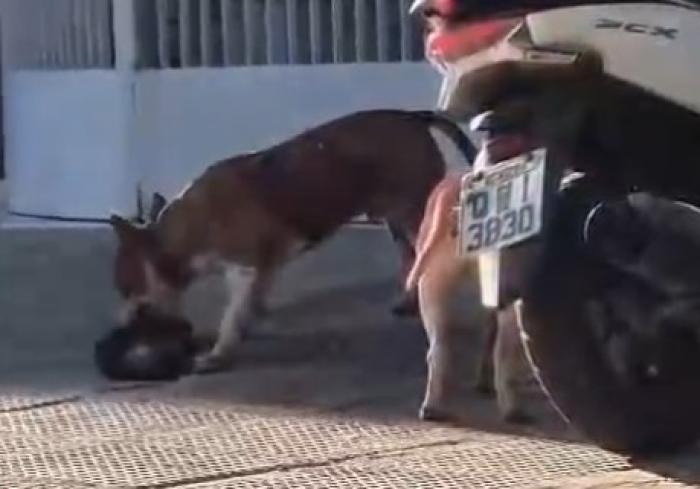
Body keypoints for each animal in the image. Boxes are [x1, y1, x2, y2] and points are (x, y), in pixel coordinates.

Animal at [109, 108, 474, 372]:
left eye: (127, 289)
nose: (120, 326)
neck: (184, 231)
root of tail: (413, 116)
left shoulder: (244, 268)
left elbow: (232, 314)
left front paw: (218, 353)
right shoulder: (262, 269)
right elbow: (249, 306)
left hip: (415, 213)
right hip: (396, 219)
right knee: (409, 257)